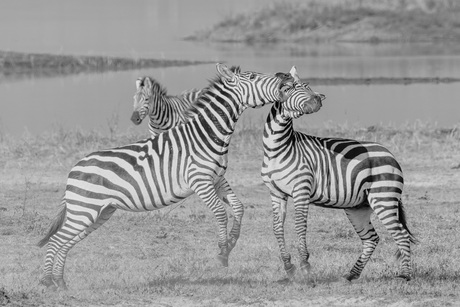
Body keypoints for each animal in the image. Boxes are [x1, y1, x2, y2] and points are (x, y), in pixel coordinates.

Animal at [37, 63, 292, 290]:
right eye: (252, 77)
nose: (283, 79)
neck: (207, 135)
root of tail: (74, 169)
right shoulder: (200, 181)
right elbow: (221, 212)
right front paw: (222, 251)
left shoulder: (217, 179)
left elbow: (238, 208)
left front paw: (230, 245)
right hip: (85, 209)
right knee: (56, 240)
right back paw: (48, 281)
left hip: (98, 212)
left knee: (65, 242)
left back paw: (60, 282)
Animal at [262, 67, 416, 282]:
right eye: (290, 88)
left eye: (308, 87)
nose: (317, 100)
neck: (277, 148)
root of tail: (389, 154)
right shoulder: (276, 193)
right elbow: (277, 228)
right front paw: (289, 267)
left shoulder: (301, 189)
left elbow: (300, 226)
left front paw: (305, 266)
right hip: (358, 207)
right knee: (371, 238)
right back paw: (351, 275)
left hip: (383, 197)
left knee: (401, 234)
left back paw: (404, 275)